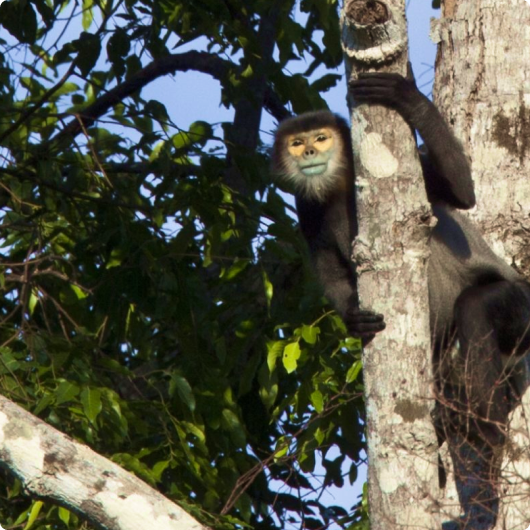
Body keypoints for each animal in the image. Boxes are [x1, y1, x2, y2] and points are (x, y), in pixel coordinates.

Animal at [270, 111, 386, 340]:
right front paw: (353, 317)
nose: (309, 152)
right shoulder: (304, 201)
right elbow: (327, 258)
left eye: (321, 139)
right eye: (297, 143)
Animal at [346, 70, 528, 446]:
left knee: (474, 307)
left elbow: (462, 194)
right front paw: (356, 321)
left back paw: (487, 426)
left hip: (523, 312)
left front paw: (408, 97)